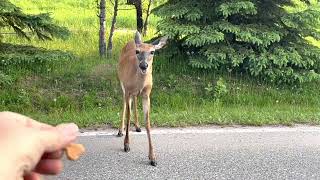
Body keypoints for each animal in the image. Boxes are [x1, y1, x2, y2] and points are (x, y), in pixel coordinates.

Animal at [117, 31, 168, 166]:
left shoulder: (147, 94)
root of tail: (131, 40)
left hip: (134, 93)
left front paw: (152, 157)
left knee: (134, 100)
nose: (144, 65)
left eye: (152, 52)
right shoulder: (128, 90)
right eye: (137, 51)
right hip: (122, 83)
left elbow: (148, 123)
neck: (139, 83)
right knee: (124, 104)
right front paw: (126, 145)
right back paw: (120, 131)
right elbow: (128, 116)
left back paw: (137, 126)